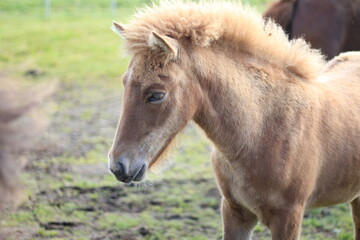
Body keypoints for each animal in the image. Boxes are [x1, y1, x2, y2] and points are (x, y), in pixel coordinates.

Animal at [108, 0, 360, 239]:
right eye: (124, 82)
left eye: (157, 94)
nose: (118, 166)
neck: (264, 129)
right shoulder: (235, 212)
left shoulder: (288, 218)